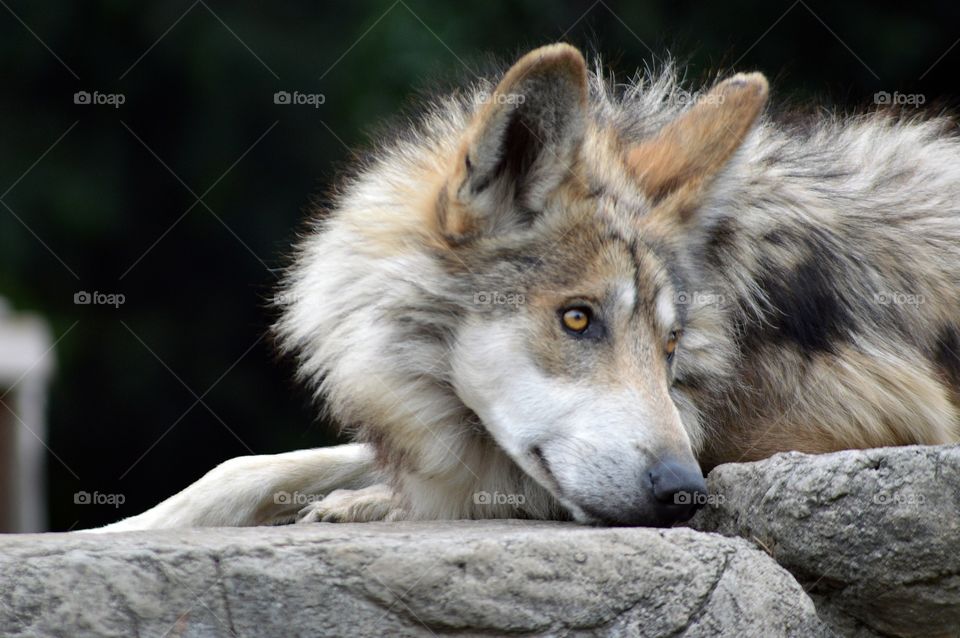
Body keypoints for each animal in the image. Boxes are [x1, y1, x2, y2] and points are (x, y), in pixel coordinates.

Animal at [93, 43, 960, 532]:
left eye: (670, 343)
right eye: (578, 320)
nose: (683, 493)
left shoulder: (870, 422)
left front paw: (376, 502)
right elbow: (249, 467)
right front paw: (110, 534)